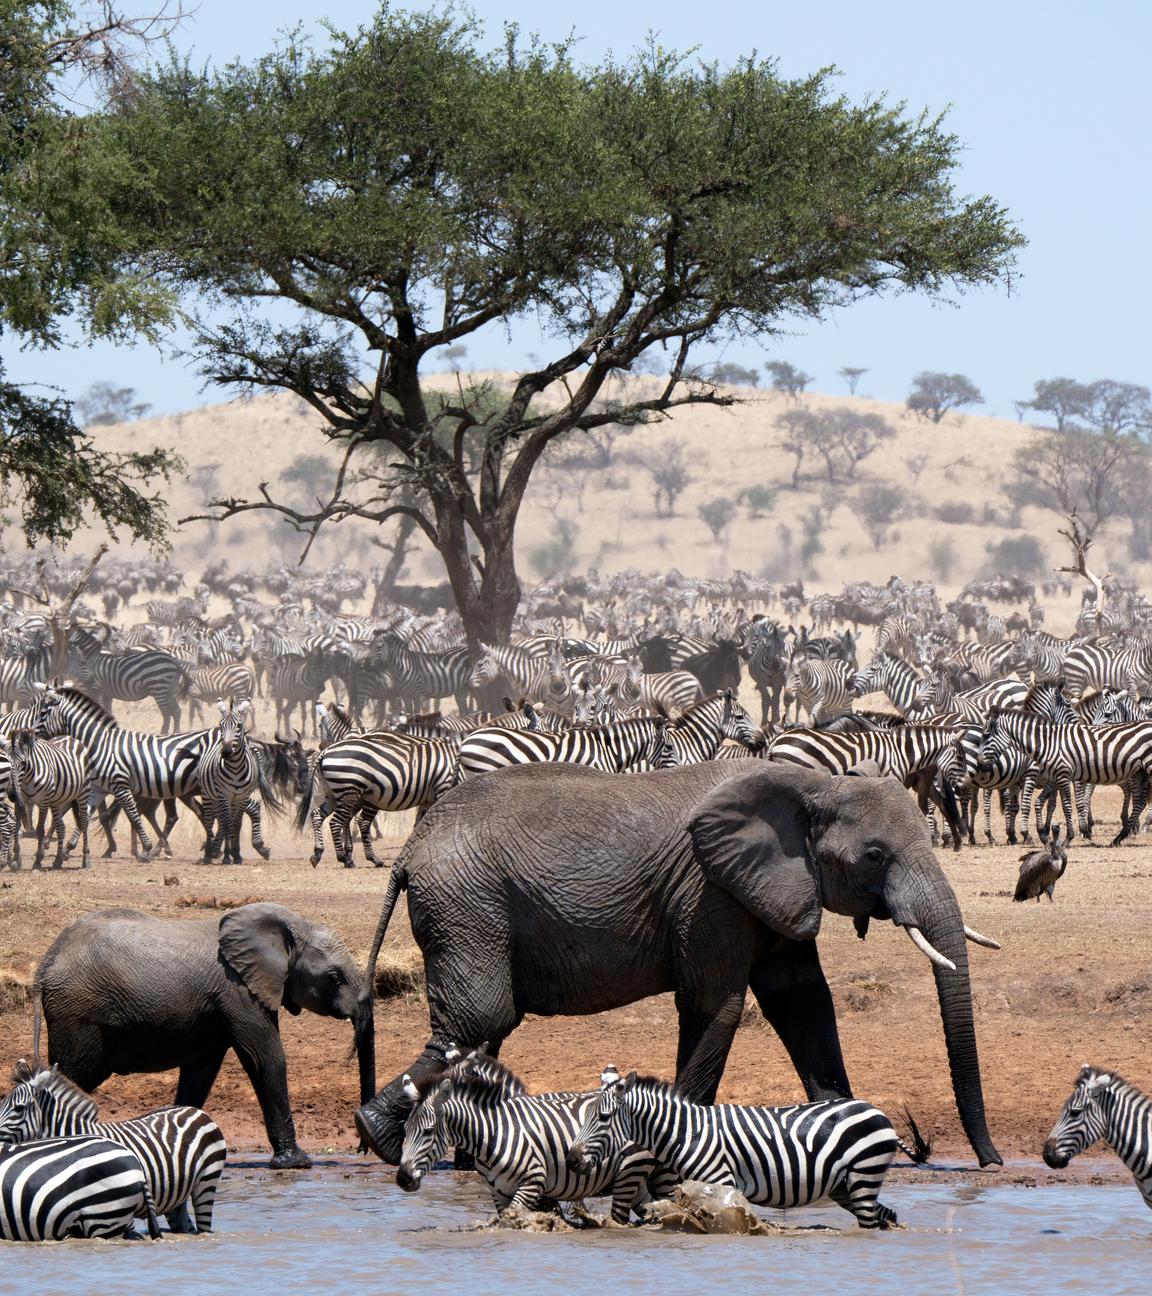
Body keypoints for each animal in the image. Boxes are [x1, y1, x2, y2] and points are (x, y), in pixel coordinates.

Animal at [4, 728, 91, 869]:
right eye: (7, 762)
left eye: (23, 763)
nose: (11, 794)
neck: (27, 779)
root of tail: (71, 737)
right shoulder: (21, 799)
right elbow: (16, 825)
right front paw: (16, 857)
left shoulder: (43, 802)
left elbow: (40, 828)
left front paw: (38, 860)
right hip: (57, 800)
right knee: (61, 826)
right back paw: (58, 860)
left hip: (84, 792)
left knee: (83, 822)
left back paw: (86, 859)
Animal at [396, 1051, 655, 1224]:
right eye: (406, 1130)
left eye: (428, 1131)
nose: (403, 1179)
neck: (494, 1132)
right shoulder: (499, 1193)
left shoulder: (534, 1183)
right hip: (635, 1179)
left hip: (629, 1171)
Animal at [566, 1070, 924, 1230]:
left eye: (603, 1118)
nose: (571, 1159)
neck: (687, 1133)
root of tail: (876, 1110)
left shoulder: (722, 1183)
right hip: (845, 1185)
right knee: (885, 1216)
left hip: (864, 1175)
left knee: (870, 1222)